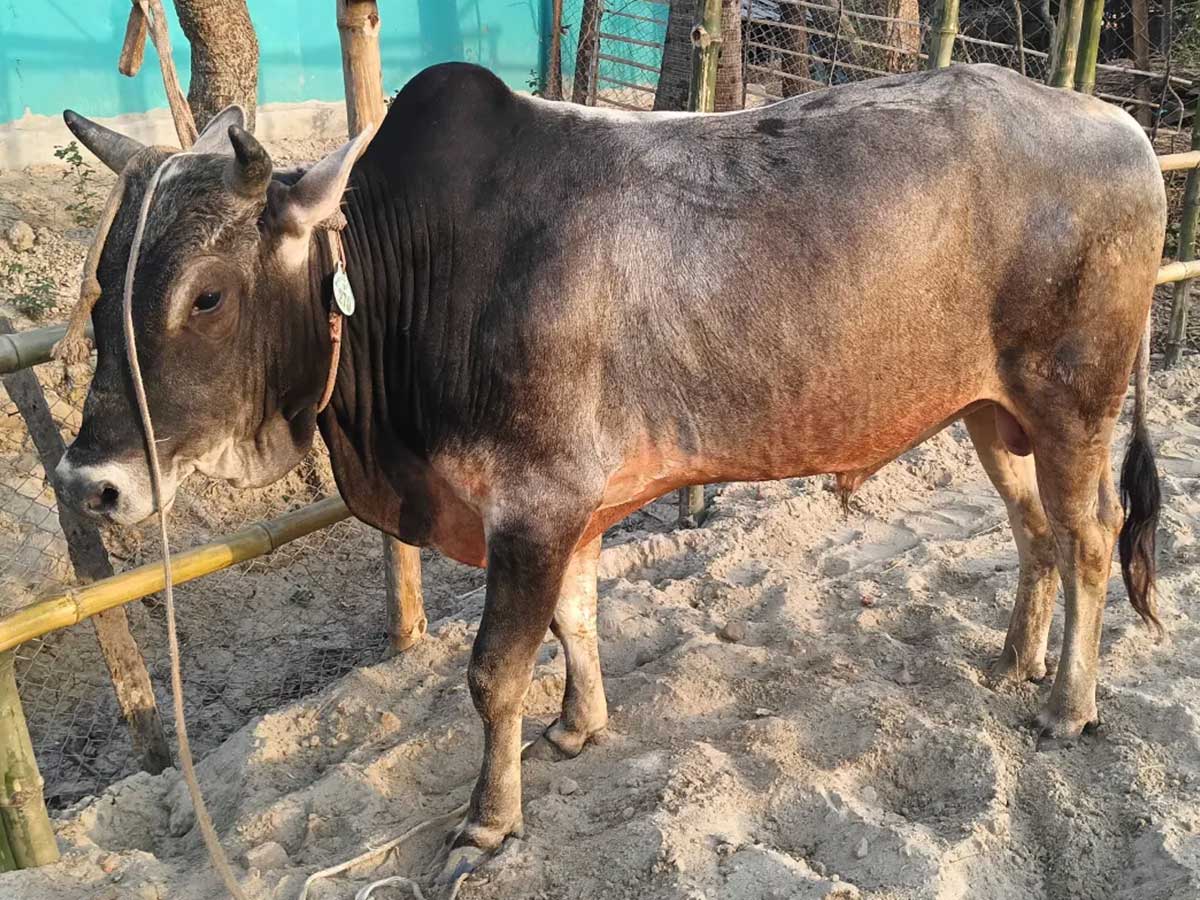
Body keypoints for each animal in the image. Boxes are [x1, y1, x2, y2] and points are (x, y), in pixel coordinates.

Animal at [54, 62, 1165, 878]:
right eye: (106, 281)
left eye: (206, 295)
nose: (89, 484)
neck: (413, 277)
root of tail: (1124, 126)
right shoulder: (569, 509)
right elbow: (575, 621)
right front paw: (579, 726)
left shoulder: (534, 505)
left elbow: (493, 671)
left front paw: (487, 821)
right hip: (991, 414)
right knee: (1035, 535)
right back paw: (1015, 659)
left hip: (1072, 407)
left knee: (1092, 541)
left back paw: (1067, 704)